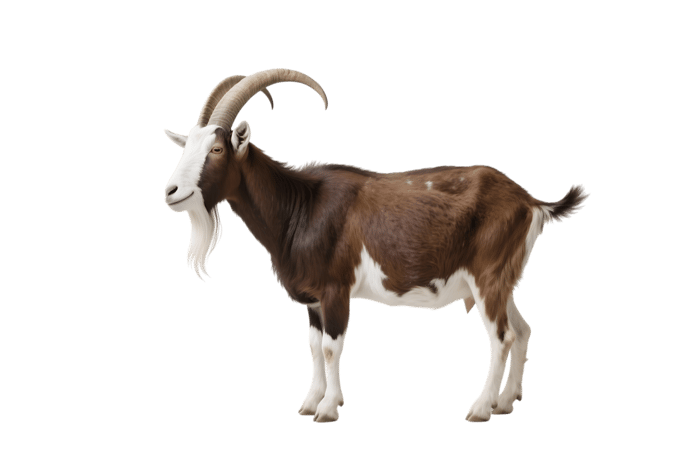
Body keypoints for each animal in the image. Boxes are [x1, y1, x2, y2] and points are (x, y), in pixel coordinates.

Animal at [162, 68, 590, 423]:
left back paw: (481, 408)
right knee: (523, 329)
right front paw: (310, 402)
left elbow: (332, 347)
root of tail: (530, 201)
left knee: (501, 338)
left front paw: (328, 410)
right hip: (503, 281)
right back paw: (505, 402)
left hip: (488, 277)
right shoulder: (313, 300)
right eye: (186, 147)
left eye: (217, 149)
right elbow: (313, 346)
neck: (301, 206)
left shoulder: (336, 290)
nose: (171, 192)